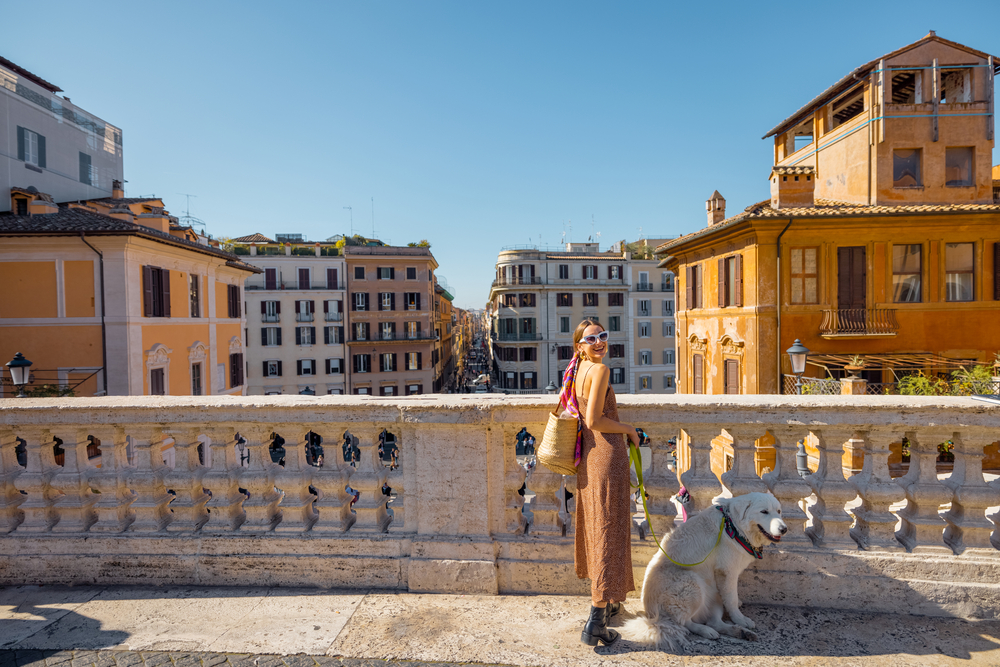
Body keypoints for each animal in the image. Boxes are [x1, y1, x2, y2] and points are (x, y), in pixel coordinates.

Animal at [620, 490, 784, 652]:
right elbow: (731, 599)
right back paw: (707, 631)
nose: (784, 529)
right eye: (764, 512)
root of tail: (654, 618)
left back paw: (742, 633)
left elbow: (731, 598)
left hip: (713, 596)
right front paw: (740, 619)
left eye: (779, 511)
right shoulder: (727, 572)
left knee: (714, 622)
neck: (733, 526)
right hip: (692, 583)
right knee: (684, 622)